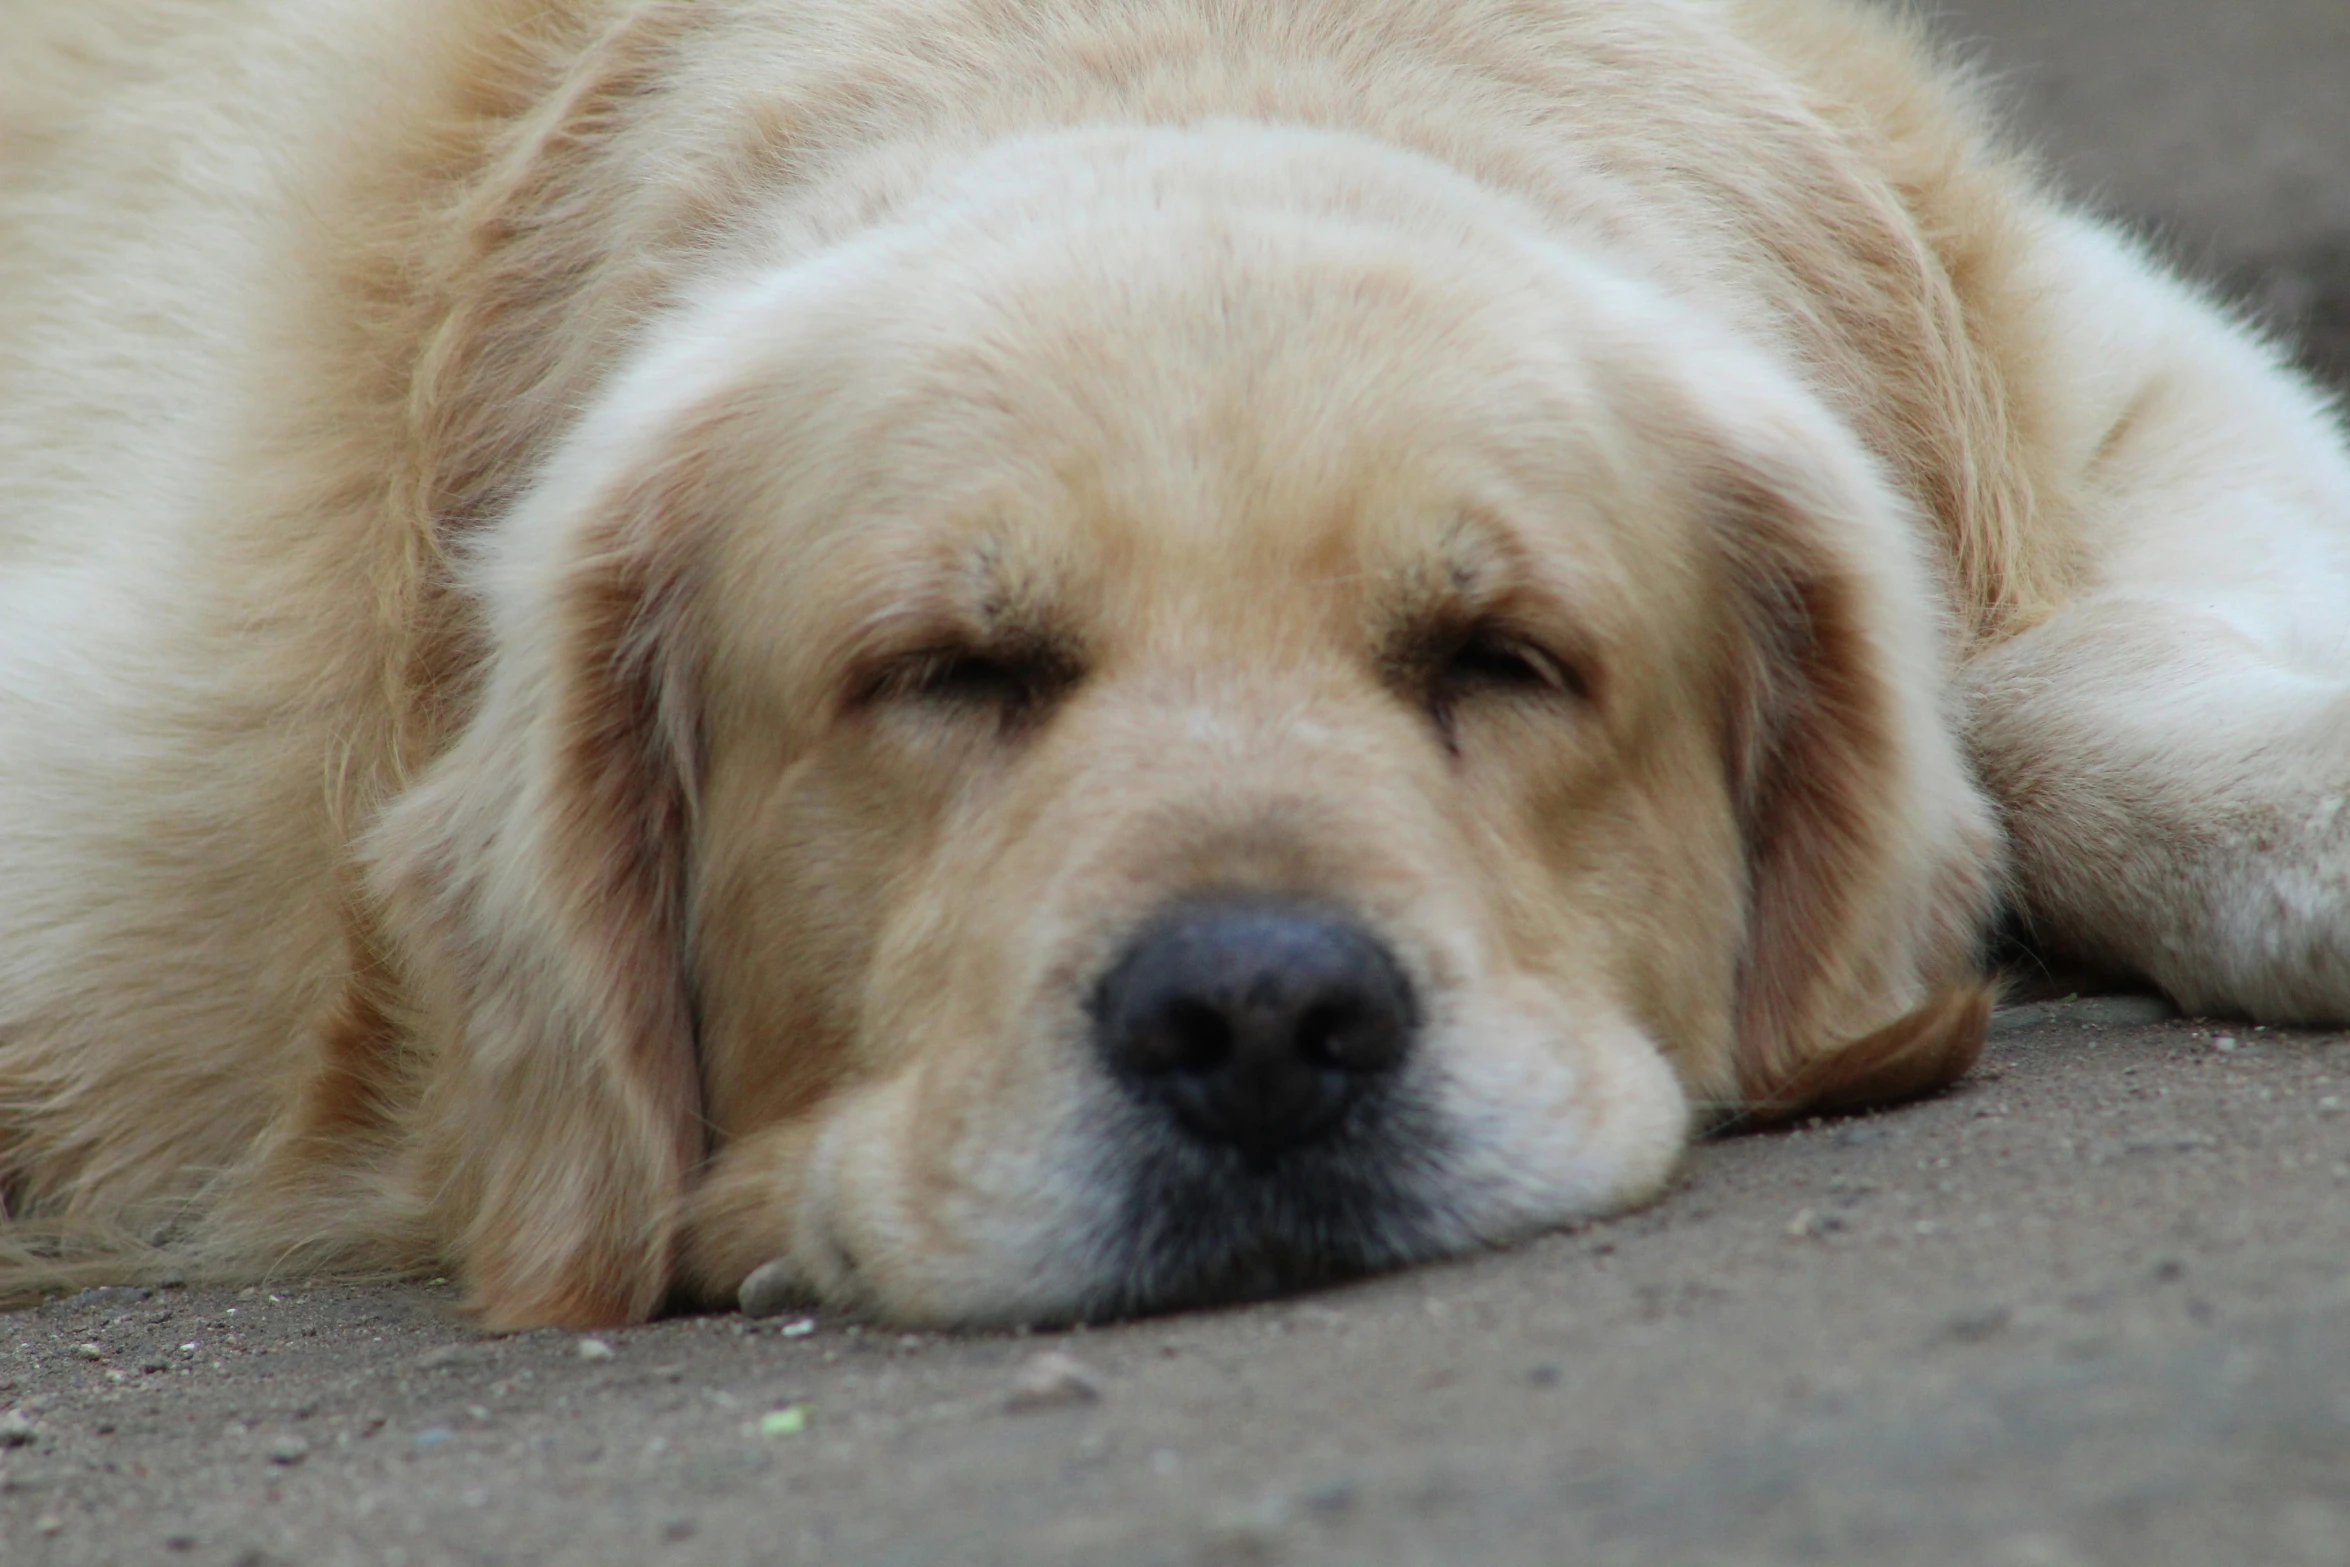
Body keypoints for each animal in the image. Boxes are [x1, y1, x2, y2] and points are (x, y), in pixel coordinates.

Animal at [0, 0, 2340, 1334]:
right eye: (946, 671)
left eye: (1503, 658)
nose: (1260, 1026)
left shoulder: (2135, 383)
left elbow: (2029, 677)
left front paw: (2287, 812)